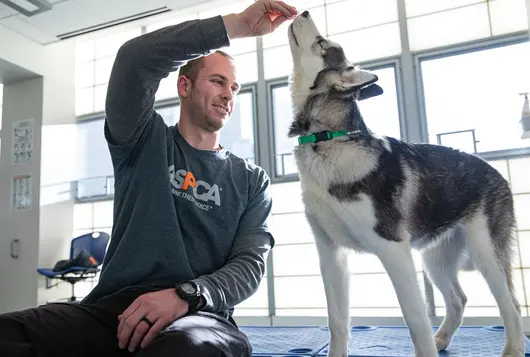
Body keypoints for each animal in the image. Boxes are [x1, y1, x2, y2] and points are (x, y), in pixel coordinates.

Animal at [286, 10, 520, 356]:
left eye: (322, 43)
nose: (302, 12)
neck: (328, 139)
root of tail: (493, 169)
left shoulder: (394, 250)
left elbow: (415, 320)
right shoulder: (331, 254)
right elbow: (337, 322)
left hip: (485, 254)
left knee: (511, 307)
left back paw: (511, 348)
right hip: (435, 259)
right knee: (458, 299)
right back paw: (442, 339)